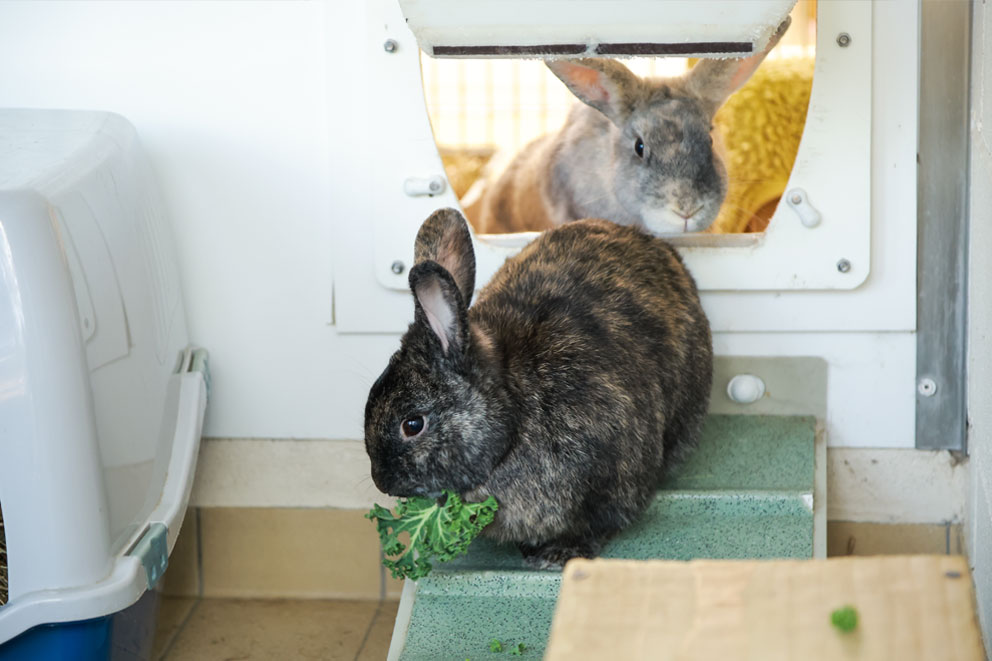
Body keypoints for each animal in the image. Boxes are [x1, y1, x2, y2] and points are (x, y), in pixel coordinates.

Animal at [364, 207, 713, 569]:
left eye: (412, 424)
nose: (381, 481)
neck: (513, 412)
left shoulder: (615, 481)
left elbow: (601, 523)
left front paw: (559, 554)